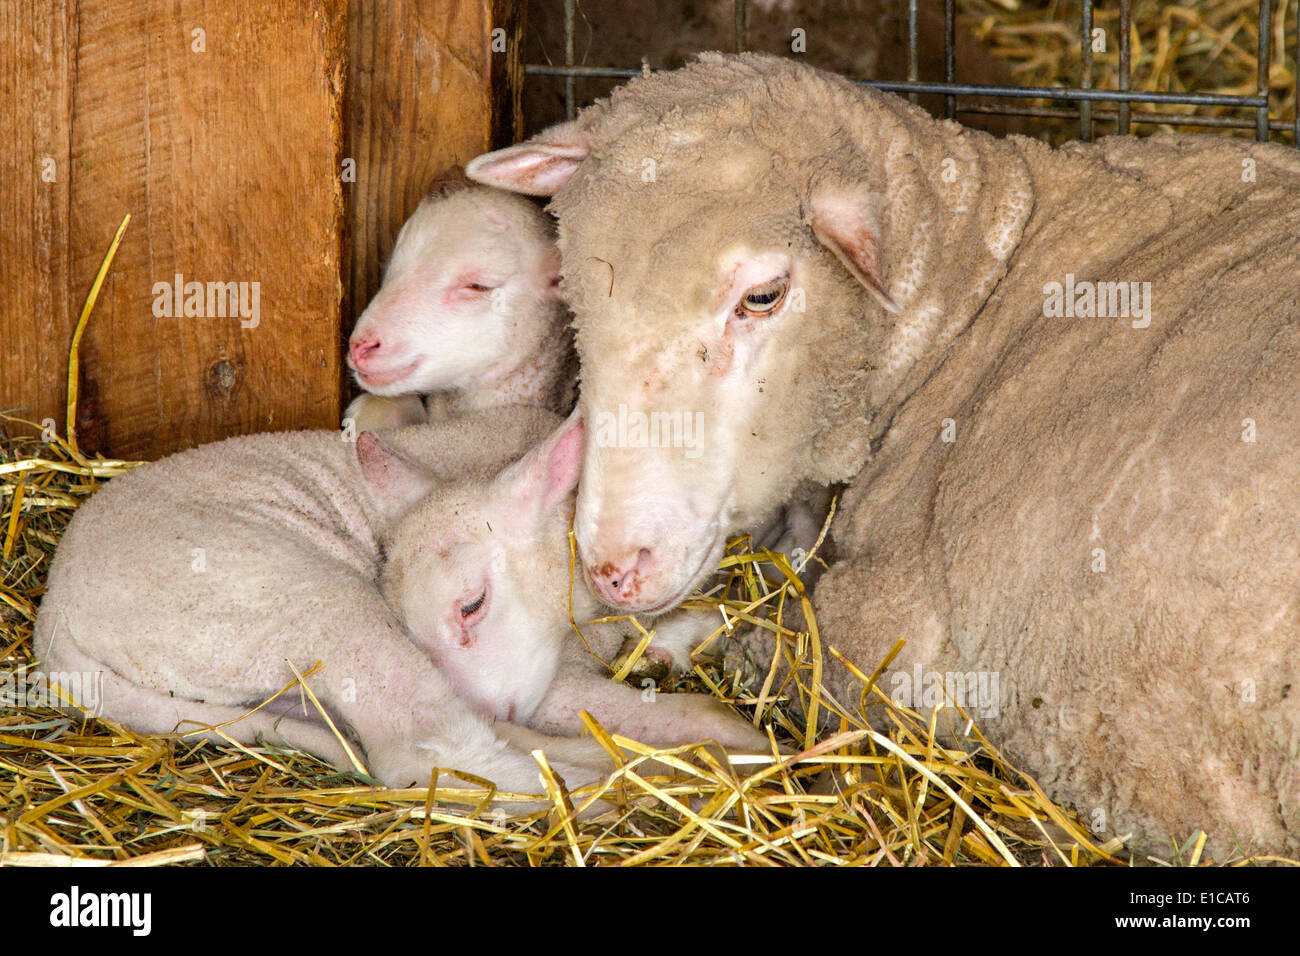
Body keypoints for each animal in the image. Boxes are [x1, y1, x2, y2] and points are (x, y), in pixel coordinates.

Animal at [473, 54, 1300, 858]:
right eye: (575, 292)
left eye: (763, 296)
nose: (614, 569)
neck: (977, 296)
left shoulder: (892, 634)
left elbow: (772, 643)